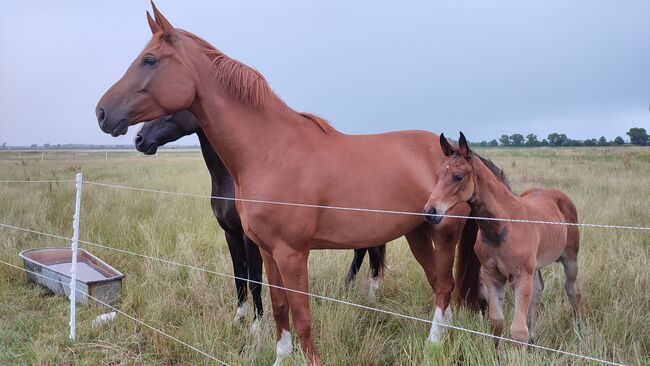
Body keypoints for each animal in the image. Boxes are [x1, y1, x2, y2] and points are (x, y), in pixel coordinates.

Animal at [422, 133, 580, 344]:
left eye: (458, 176)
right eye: (438, 174)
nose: (430, 212)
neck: (502, 227)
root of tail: (557, 194)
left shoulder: (521, 277)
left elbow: (518, 330)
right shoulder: (493, 276)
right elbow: (496, 322)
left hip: (570, 258)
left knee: (572, 290)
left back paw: (581, 331)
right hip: (535, 267)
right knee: (538, 291)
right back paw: (534, 338)